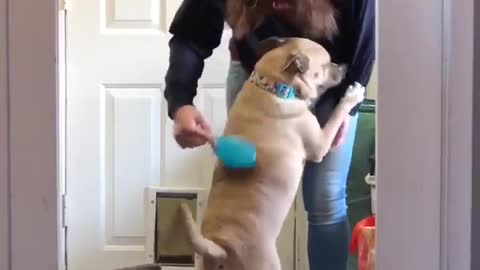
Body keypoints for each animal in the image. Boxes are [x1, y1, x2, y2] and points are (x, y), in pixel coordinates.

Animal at [179, 36, 364, 270]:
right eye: (326, 64)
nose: (344, 66)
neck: (273, 85)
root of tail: (220, 247)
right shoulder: (320, 144)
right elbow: (337, 114)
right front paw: (352, 95)